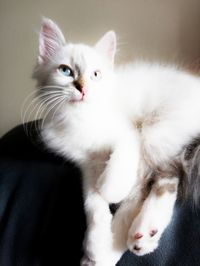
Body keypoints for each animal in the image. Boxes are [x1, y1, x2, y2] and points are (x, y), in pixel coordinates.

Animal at [32, 18, 200, 266]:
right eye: (65, 70)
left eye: (95, 74)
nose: (82, 88)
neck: (79, 119)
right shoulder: (87, 164)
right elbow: (91, 202)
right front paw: (96, 239)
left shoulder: (129, 134)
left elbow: (115, 177)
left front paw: (109, 189)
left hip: (156, 131)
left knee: (156, 181)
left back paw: (138, 234)